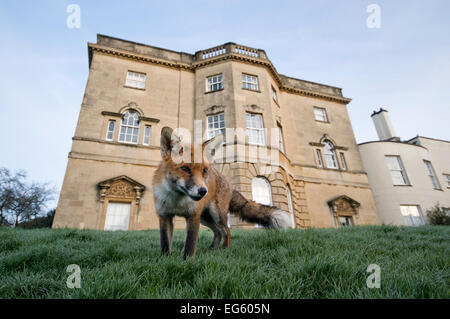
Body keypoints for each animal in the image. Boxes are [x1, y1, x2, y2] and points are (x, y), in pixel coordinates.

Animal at [153, 127, 290, 260]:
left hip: (216, 215)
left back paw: (225, 249)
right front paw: (165, 261)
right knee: (218, 232)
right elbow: (165, 244)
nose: (203, 191)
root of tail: (228, 182)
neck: (177, 200)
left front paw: (188, 262)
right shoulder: (164, 216)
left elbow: (190, 245)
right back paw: (212, 249)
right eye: (185, 168)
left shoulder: (193, 216)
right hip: (206, 218)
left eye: (204, 171)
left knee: (227, 231)